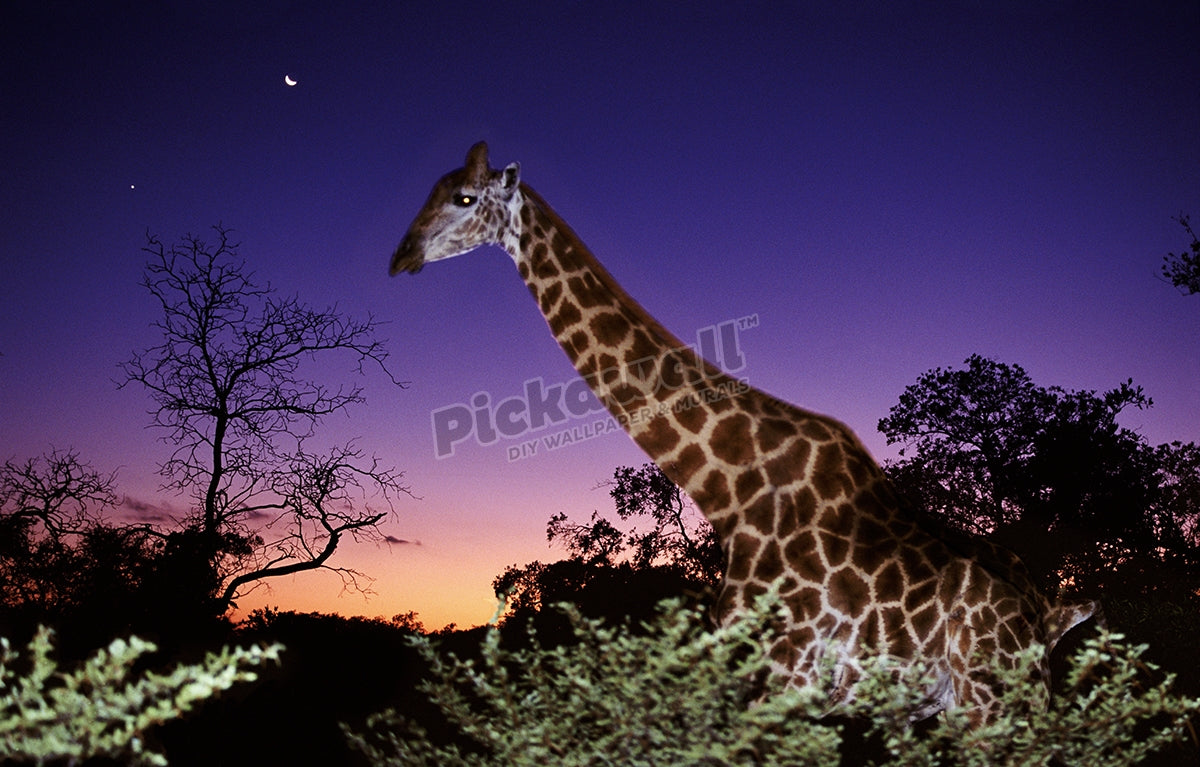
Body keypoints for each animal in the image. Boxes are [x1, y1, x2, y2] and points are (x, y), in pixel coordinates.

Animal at [389, 142, 1098, 722]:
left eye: (465, 197)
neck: (730, 489)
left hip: (995, 700)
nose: (400, 257)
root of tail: (1053, 615)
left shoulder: (785, 679)